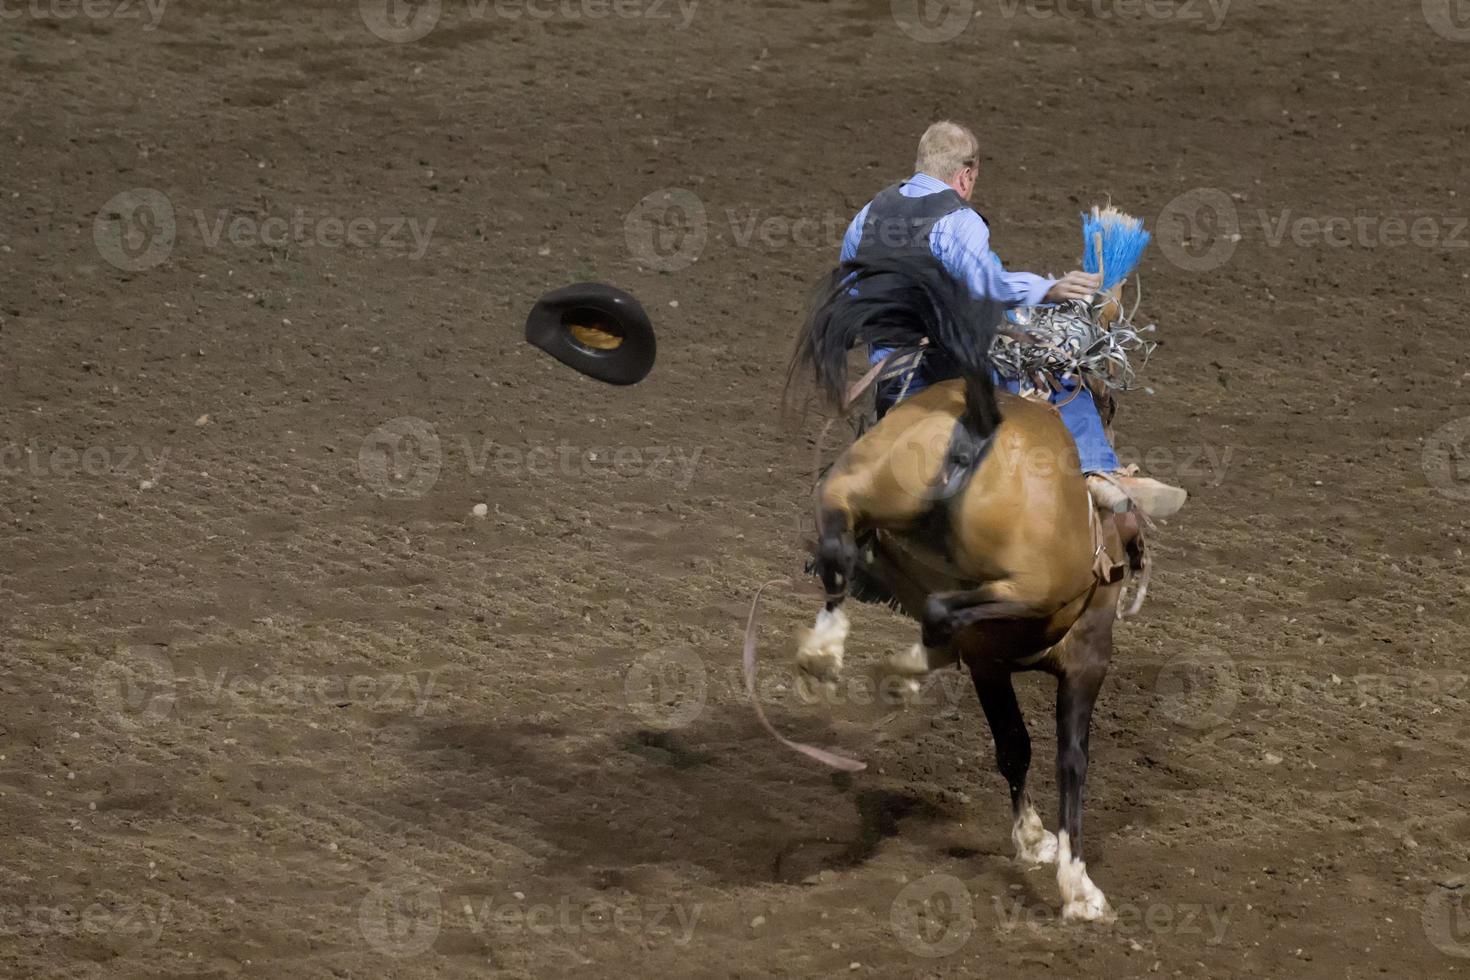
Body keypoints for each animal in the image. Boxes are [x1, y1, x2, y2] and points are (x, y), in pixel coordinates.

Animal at [787, 251, 1128, 922]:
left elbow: (1014, 745)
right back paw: (898, 671)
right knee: (944, 610)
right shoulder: (1085, 654)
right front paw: (1073, 880)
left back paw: (826, 652)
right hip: (1030, 587)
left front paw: (1037, 843)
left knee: (842, 549)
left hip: (849, 488)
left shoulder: (989, 664)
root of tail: (978, 417)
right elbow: (1068, 759)